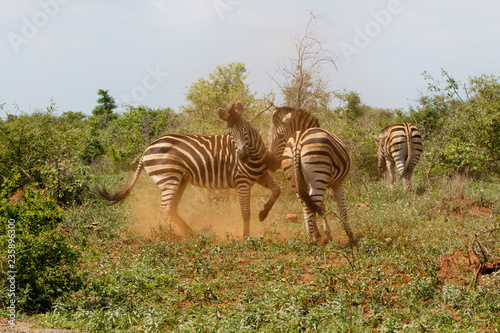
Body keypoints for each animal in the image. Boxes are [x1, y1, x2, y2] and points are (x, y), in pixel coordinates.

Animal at [95, 101, 280, 239]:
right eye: (230, 133)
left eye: (245, 130)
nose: (242, 156)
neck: (255, 155)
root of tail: (146, 149)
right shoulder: (242, 181)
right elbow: (246, 212)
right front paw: (246, 236)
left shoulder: (261, 175)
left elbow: (277, 190)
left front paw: (263, 213)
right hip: (169, 178)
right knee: (165, 209)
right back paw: (176, 236)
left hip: (180, 180)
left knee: (172, 208)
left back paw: (189, 232)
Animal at [270, 106, 356, 244]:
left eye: (279, 135)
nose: (271, 163)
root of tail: (297, 142)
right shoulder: (337, 183)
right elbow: (342, 209)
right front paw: (350, 236)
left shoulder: (308, 184)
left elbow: (321, 207)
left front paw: (325, 234)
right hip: (318, 173)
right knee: (312, 204)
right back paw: (312, 240)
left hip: (296, 179)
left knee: (306, 205)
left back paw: (313, 237)